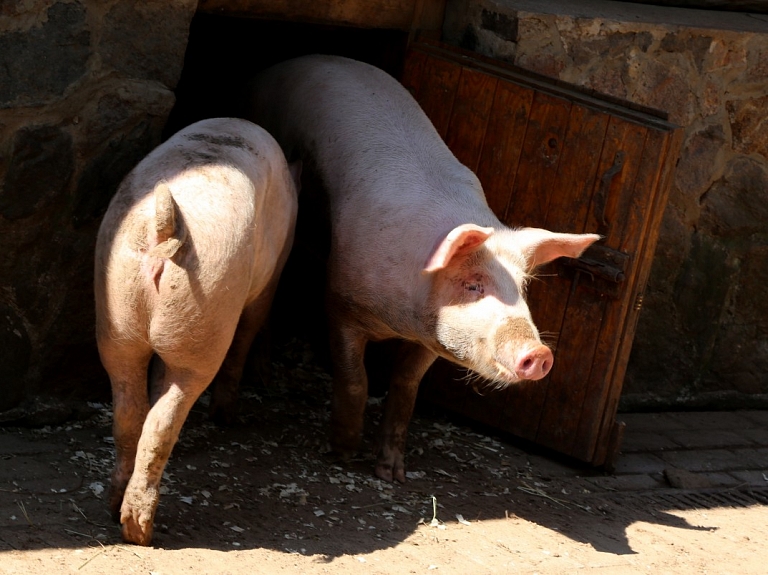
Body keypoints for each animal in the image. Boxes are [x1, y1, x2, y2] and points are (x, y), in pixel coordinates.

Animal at [93, 117, 300, 544]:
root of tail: (167, 226)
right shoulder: (270, 281)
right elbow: (251, 328)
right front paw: (228, 417)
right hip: (208, 309)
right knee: (166, 415)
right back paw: (140, 530)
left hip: (116, 309)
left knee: (130, 409)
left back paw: (113, 507)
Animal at [246, 55, 600, 486]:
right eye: (472, 285)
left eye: (522, 287)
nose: (540, 353)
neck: (401, 320)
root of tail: (279, 66)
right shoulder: (340, 303)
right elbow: (356, 380)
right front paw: (343, 454)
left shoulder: (429, 342)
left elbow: (405, 389)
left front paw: (391, 474)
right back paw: (262, 377)